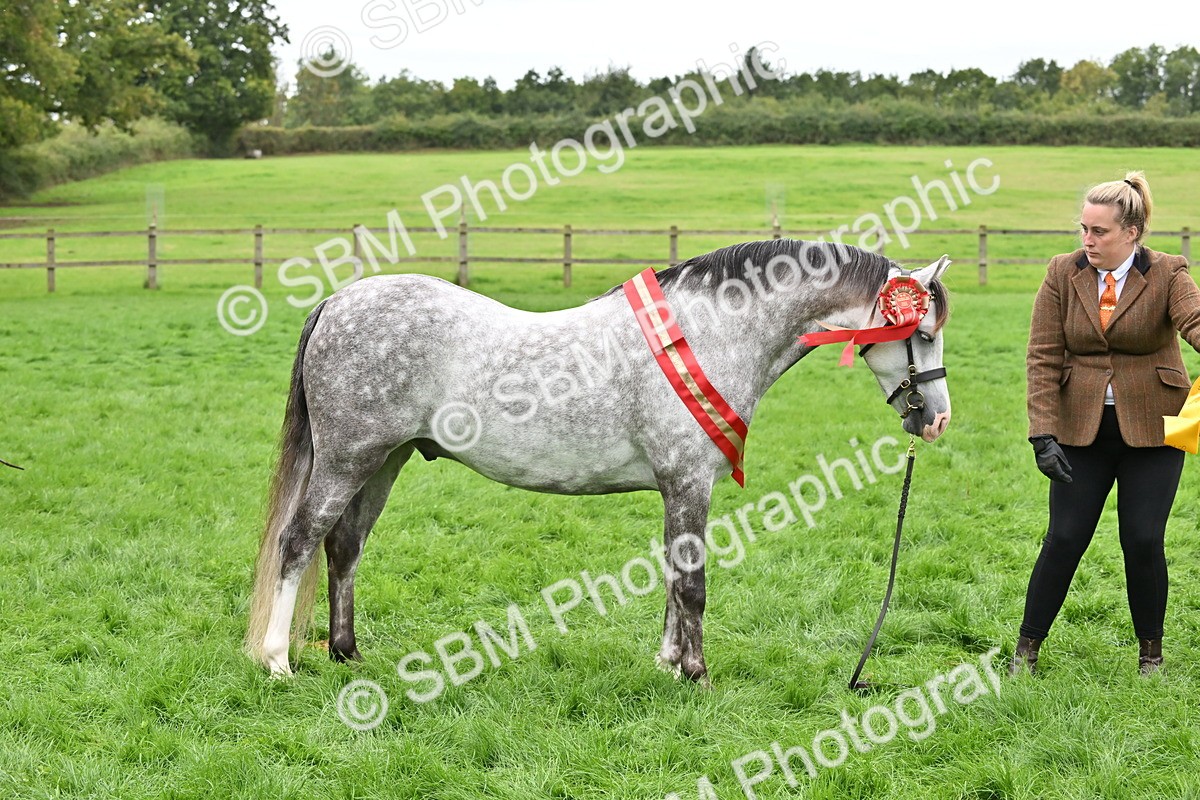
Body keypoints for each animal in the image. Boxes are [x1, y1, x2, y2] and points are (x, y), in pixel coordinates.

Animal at [245, 239, 952, 683]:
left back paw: (347, 654)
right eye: (919, 332)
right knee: (298, 541)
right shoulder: (688, 482)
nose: (937, 419)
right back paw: (278, 660)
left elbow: (671, 574)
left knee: (344, 547)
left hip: (383, 461)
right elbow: (692, 583)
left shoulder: (675, 487)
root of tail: (336, 302)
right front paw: (697, 674)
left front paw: (667, 664)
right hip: (348, 458)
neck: (708, 334)